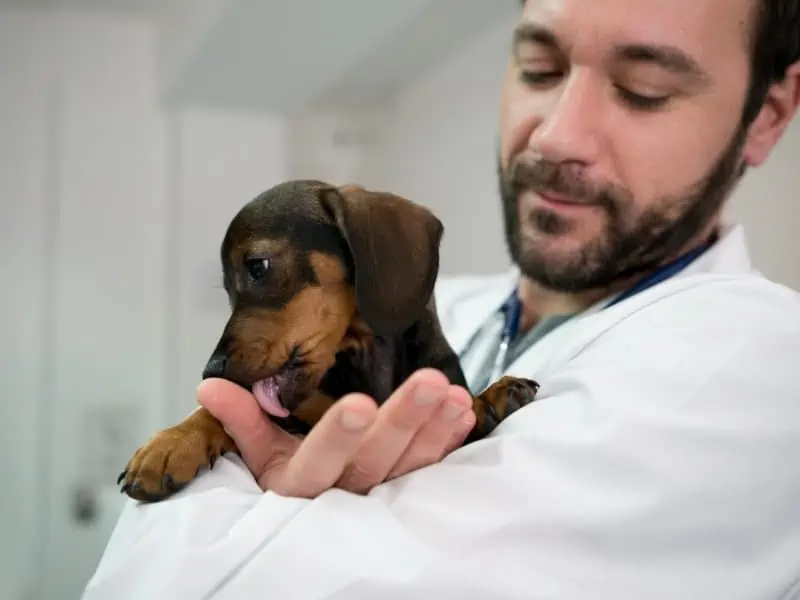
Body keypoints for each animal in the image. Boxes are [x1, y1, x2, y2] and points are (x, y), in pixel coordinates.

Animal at [119, 179, 540, 502]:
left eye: (258, 266)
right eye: (226, 290)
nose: (212, 371)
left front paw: (494, 394)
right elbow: (217, 412)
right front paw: (172, 442)